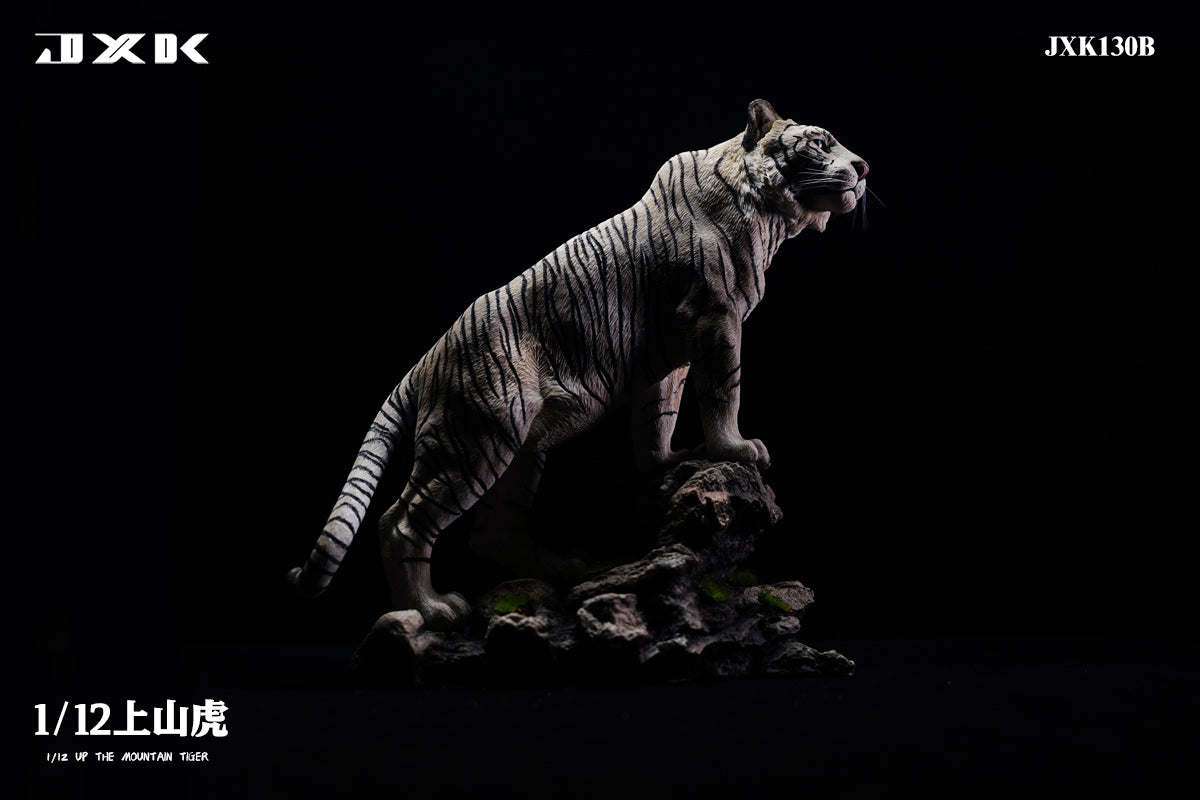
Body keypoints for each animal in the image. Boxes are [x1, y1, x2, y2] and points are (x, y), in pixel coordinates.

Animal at [288, 99, 869, 630]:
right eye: (820, 142)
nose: (863, 168)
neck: (769, 214)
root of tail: (426, 360)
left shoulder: (671, 354)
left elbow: (658, 417)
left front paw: (670, 460)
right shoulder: (716, 317)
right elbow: (724, 391)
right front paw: (735, 448)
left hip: (518, 449)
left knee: (494, 532)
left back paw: (563, 572)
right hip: (477, 438)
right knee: (401, 523)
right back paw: (432, 609)